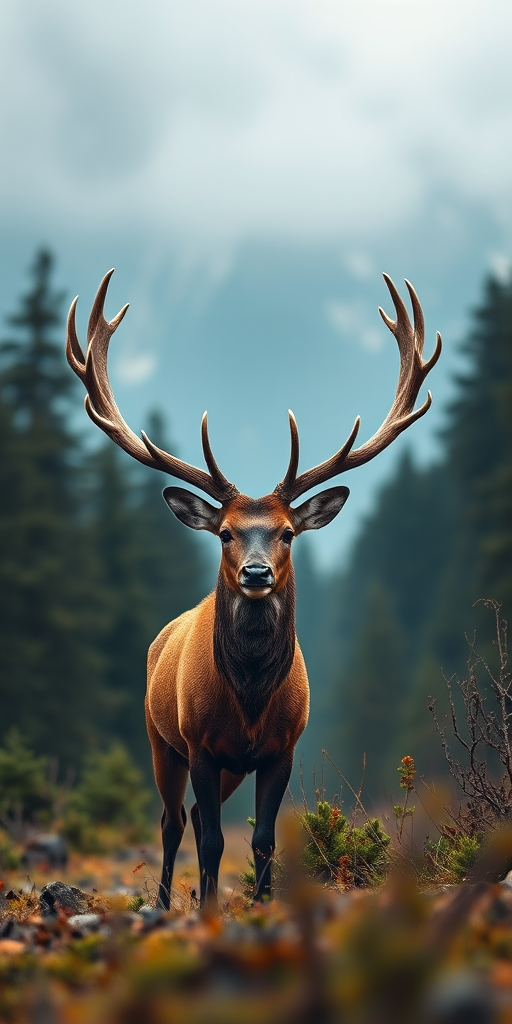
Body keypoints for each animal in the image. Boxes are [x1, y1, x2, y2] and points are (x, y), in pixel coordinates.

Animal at [66, 270, 441, 911]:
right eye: (225, 532)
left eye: (288, 532)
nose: (257, 573)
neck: (248, 698)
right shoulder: (198, 743)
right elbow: (215, 839)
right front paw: (209, 909)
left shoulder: (281, 748)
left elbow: (262, 838)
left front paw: (261, 906)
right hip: (159, 737)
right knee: (174, 821)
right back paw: (166, 900)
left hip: (225, 766)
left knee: (192, 816)